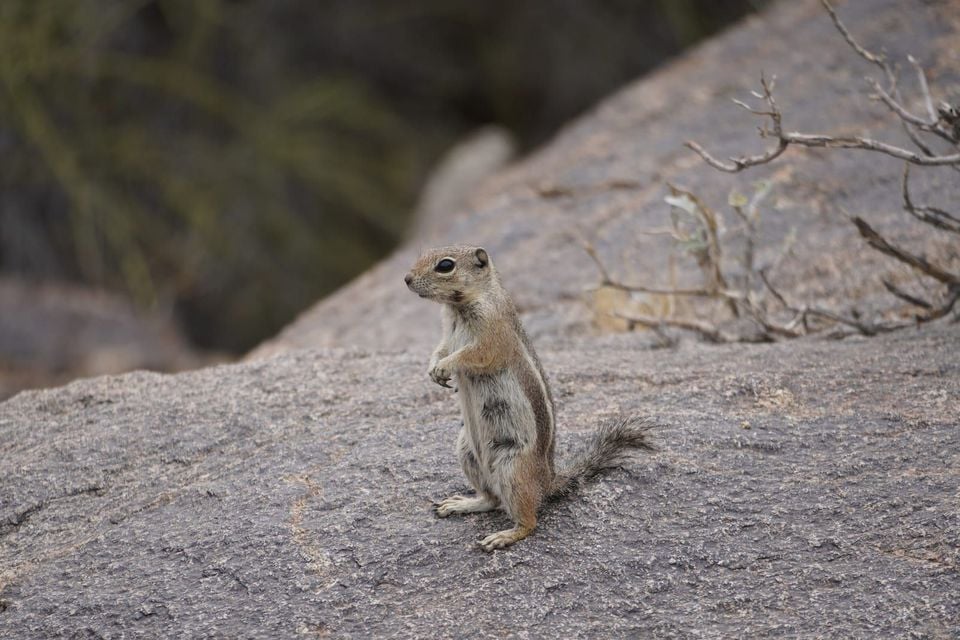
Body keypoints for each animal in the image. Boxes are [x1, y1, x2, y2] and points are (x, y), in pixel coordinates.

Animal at [405, 245, 654, 551]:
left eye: (445, 266)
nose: (406, 279)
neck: (458, 307)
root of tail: (547, 481)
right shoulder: (446, 335)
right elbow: (440, 349)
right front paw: (433, 369)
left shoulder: (491, 335)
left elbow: (473, 355)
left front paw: (444, 367)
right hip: (467, 453)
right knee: (491, 499)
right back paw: (462, 504)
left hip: (513, 470)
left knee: (528, 520)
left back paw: (505, 535)